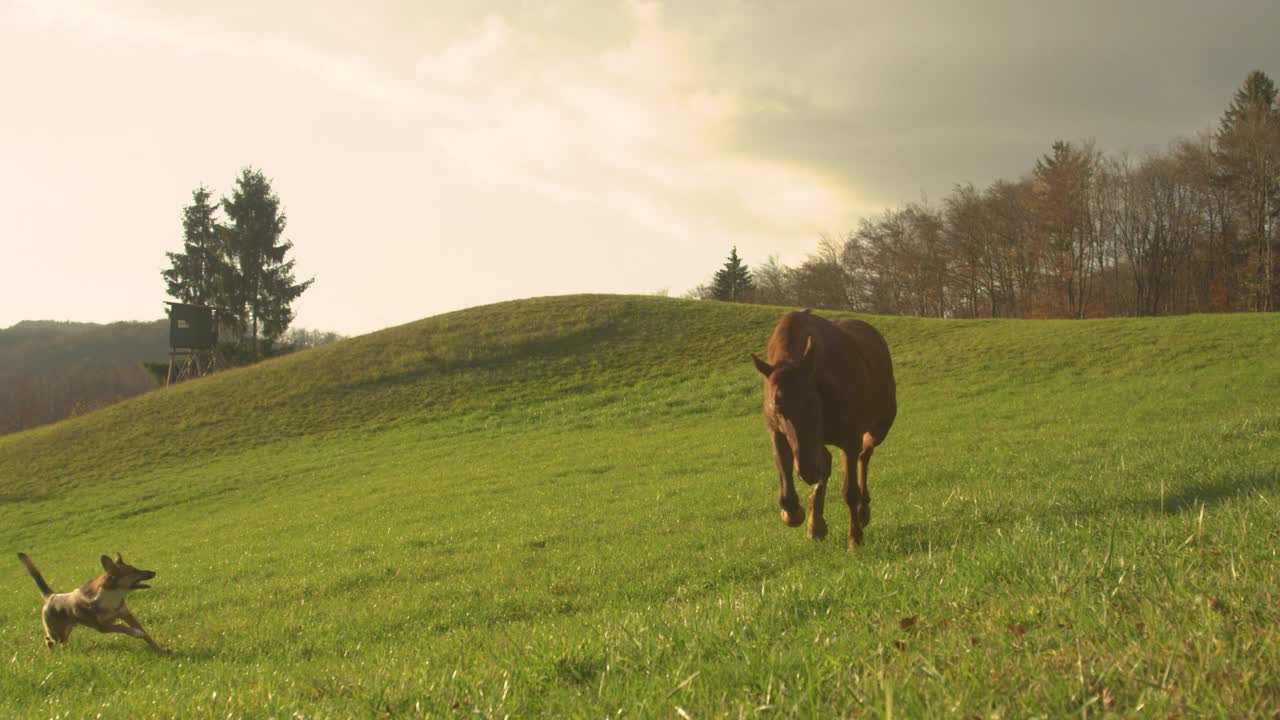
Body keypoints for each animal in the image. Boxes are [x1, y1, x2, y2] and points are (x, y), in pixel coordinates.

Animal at [747, 308, 901, 548]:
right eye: (777, 406)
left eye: (812, 401)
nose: (807, 472)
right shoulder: (779, 434)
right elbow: (787, 492)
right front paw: (797, 514)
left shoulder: (849, 438)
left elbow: (849, 491)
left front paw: (855, 537)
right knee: (831, 462)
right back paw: (816, 523)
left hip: (880, 427)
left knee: (864, 456)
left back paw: (862, 509)